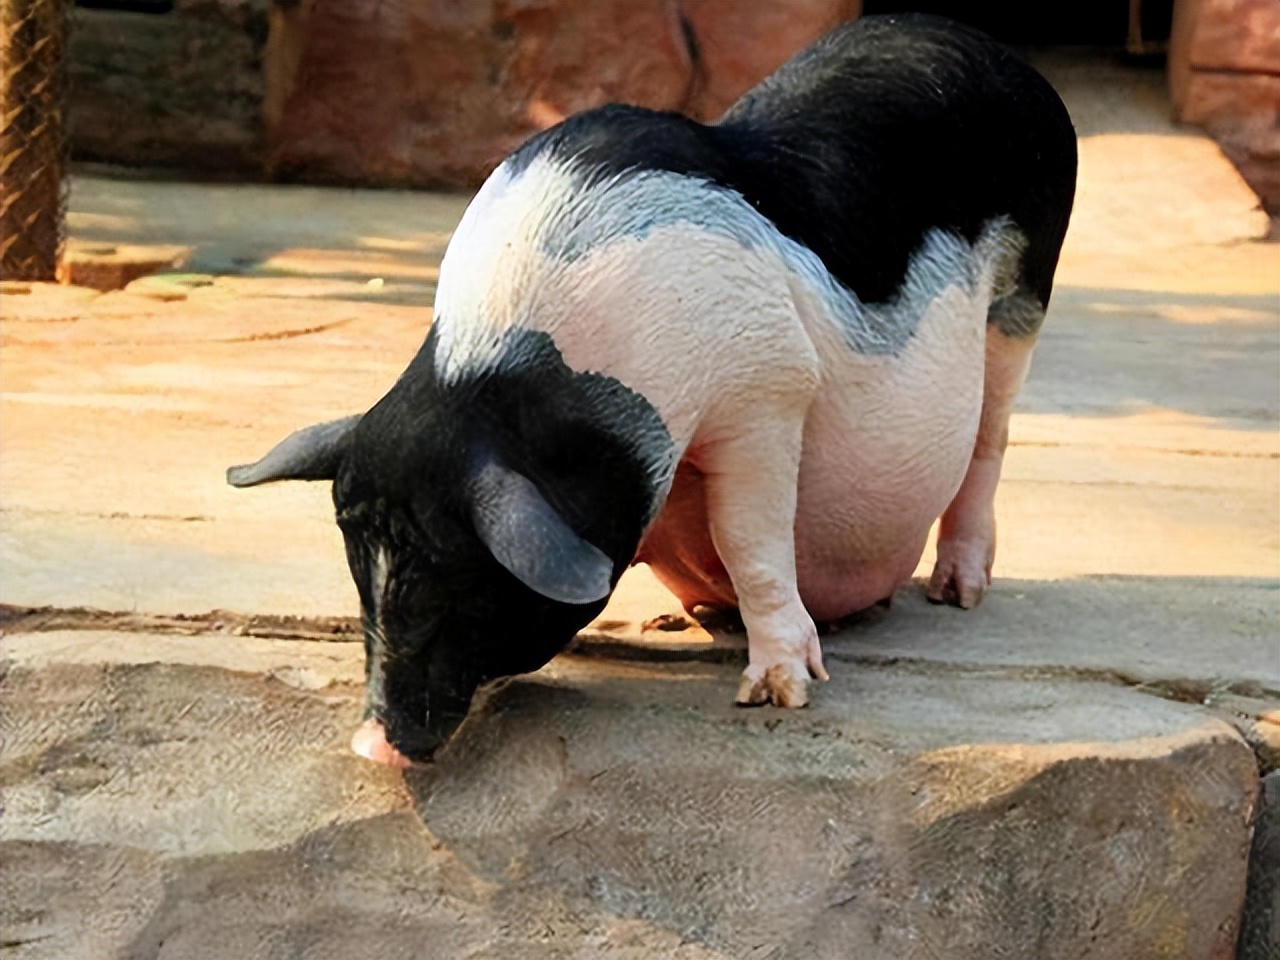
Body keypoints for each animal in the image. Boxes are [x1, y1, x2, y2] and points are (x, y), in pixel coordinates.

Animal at [227, 13, 1070, 768]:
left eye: (455, 579)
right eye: (358, 573)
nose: (370, 746)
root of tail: (993, 51)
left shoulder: (766, 387)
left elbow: (750, 539)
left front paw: (777, 693)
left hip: (1024, 296)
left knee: (990, 441)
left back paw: (955, 593)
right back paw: (691, 613)